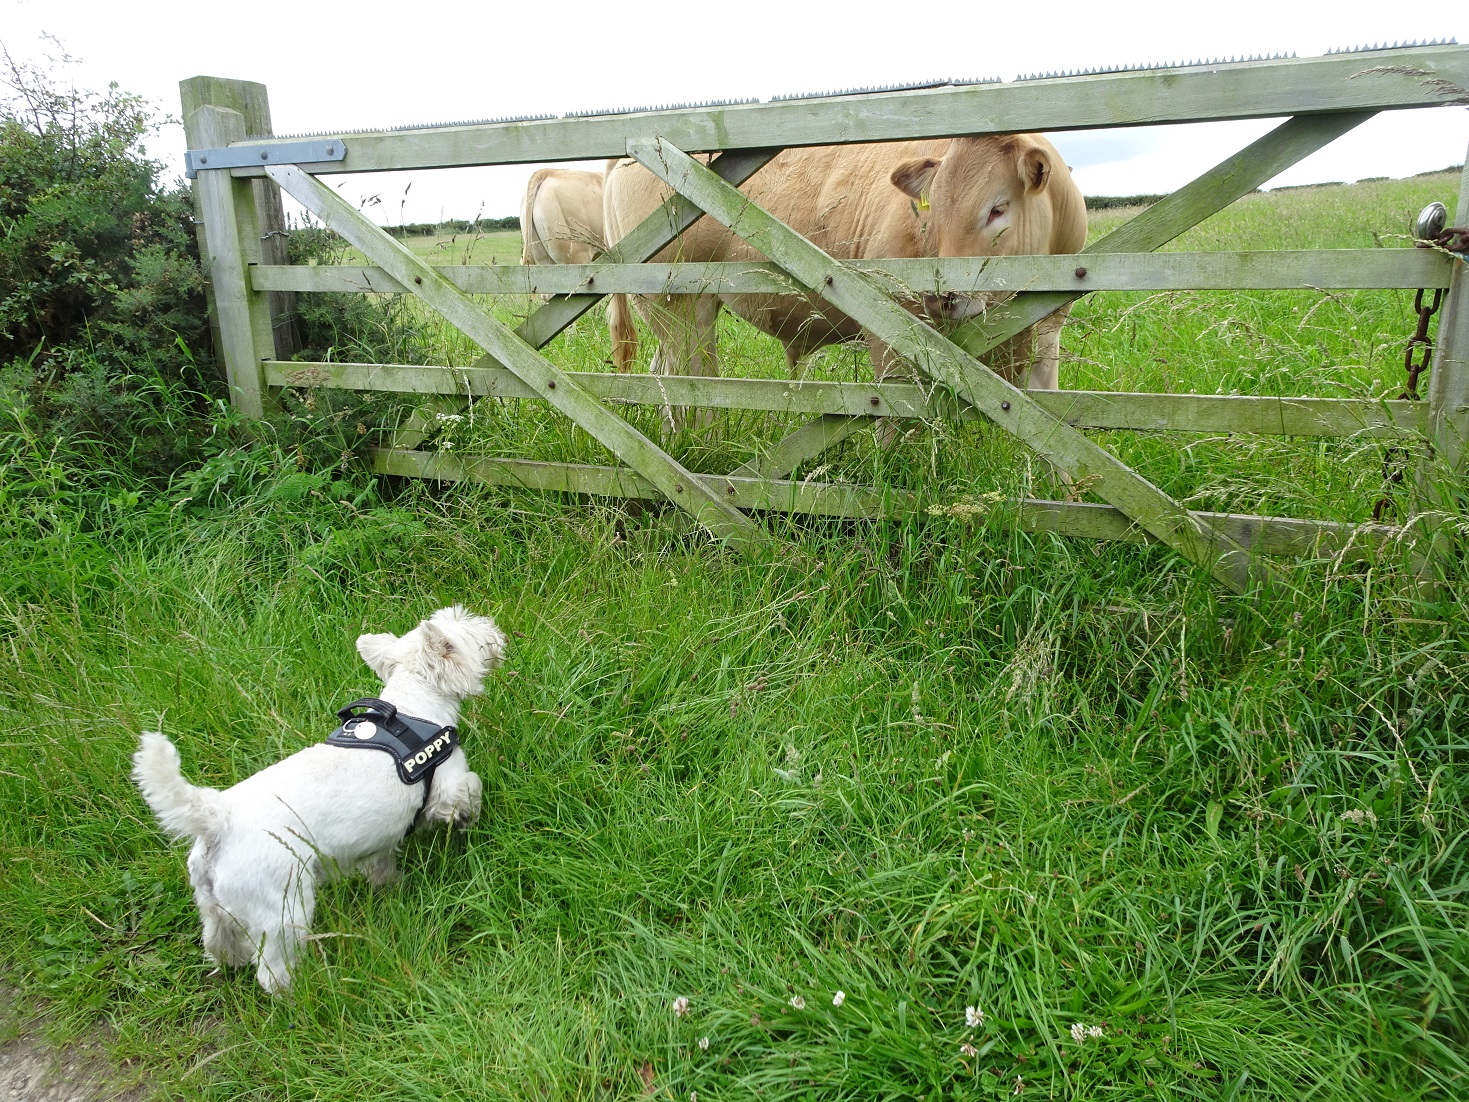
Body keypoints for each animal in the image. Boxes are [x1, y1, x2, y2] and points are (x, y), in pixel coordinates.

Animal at [133, 608, 511, 999]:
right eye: (470, 627)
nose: (495, 629)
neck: (414, 706)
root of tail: (218, 820)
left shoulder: (375, 844)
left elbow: (381, 866)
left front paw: (393, 886)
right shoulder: (447, 786)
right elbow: (469, 789)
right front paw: (469, 820)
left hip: (211, 902)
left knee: (219, 941)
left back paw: (231, 964)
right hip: (284, 907)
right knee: (273, 968)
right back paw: (302, 991)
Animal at [599, 130, 1092, 423]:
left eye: (998, 208)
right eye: (931, 211)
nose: (942, 296)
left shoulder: (1048, 332)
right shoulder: (895, 332)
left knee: (663, 374)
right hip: (681, 306)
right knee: (692, 382)